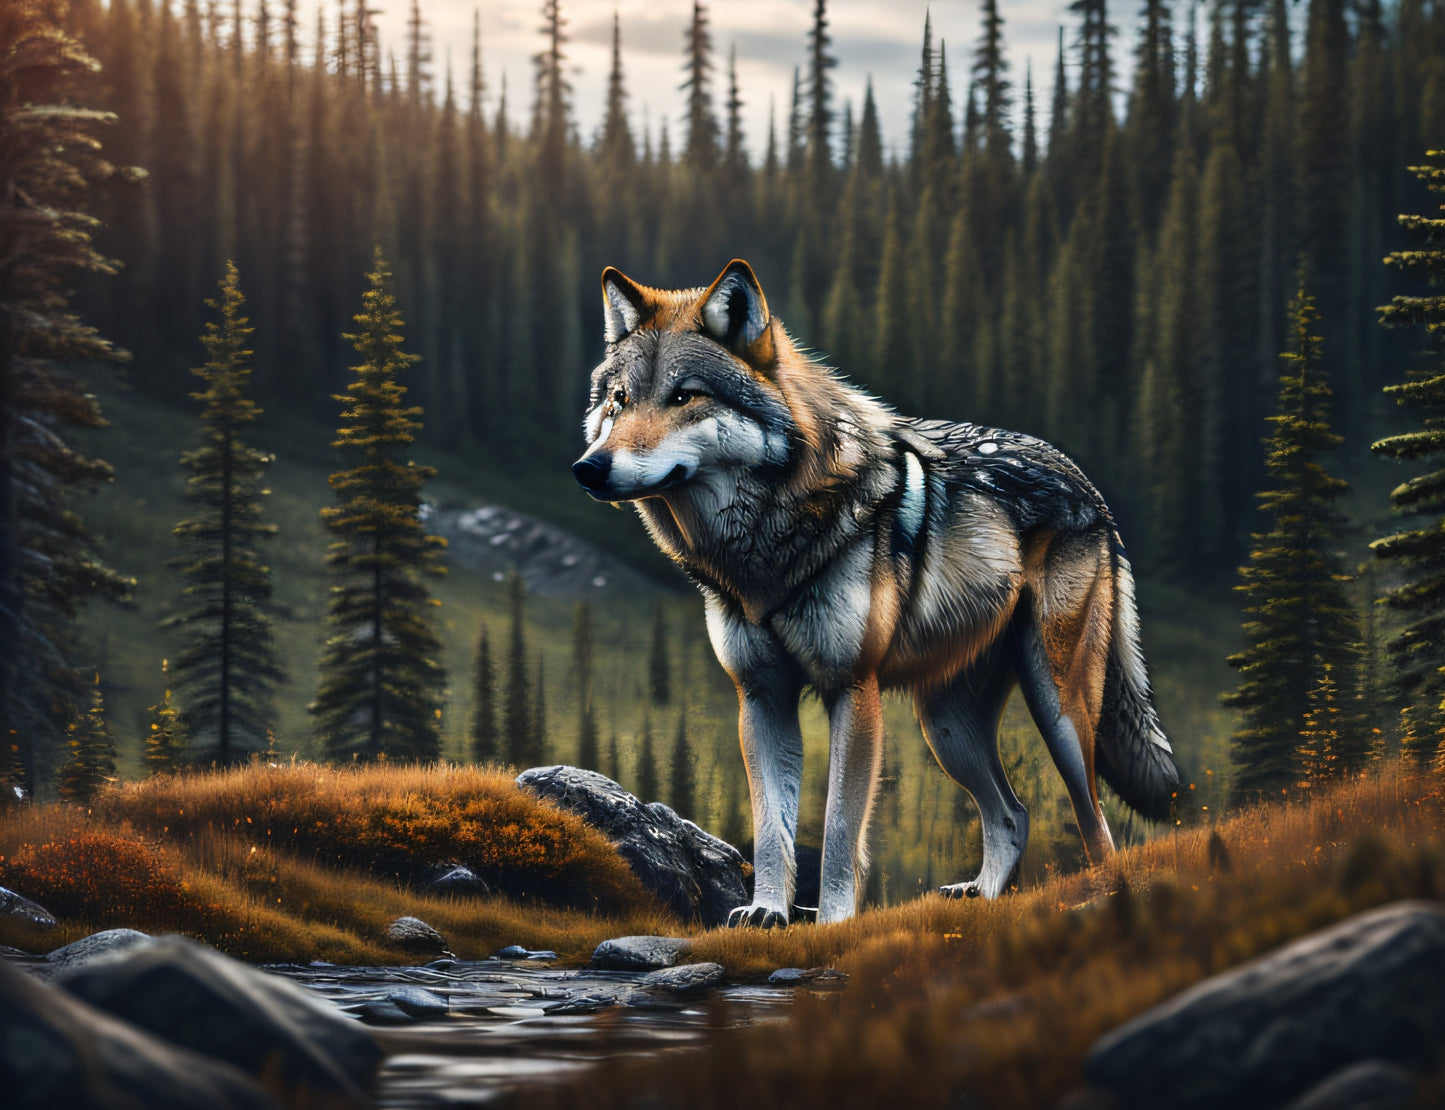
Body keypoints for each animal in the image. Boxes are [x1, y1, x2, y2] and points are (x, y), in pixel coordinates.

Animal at [571, 259, 1179, 927]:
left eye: (684, 397)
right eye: (619, 400)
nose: (589, 468)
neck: (766, 546)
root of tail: (1087, 485)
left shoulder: (852, 691)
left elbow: (839, 827)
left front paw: (833, 922)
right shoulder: (760, 696)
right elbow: (771, 825)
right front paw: (767, 912)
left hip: (1057, 708)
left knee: (1095, 823)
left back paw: (1102, 898)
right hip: (945, 726)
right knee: (1012, 814)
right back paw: (984, 901)